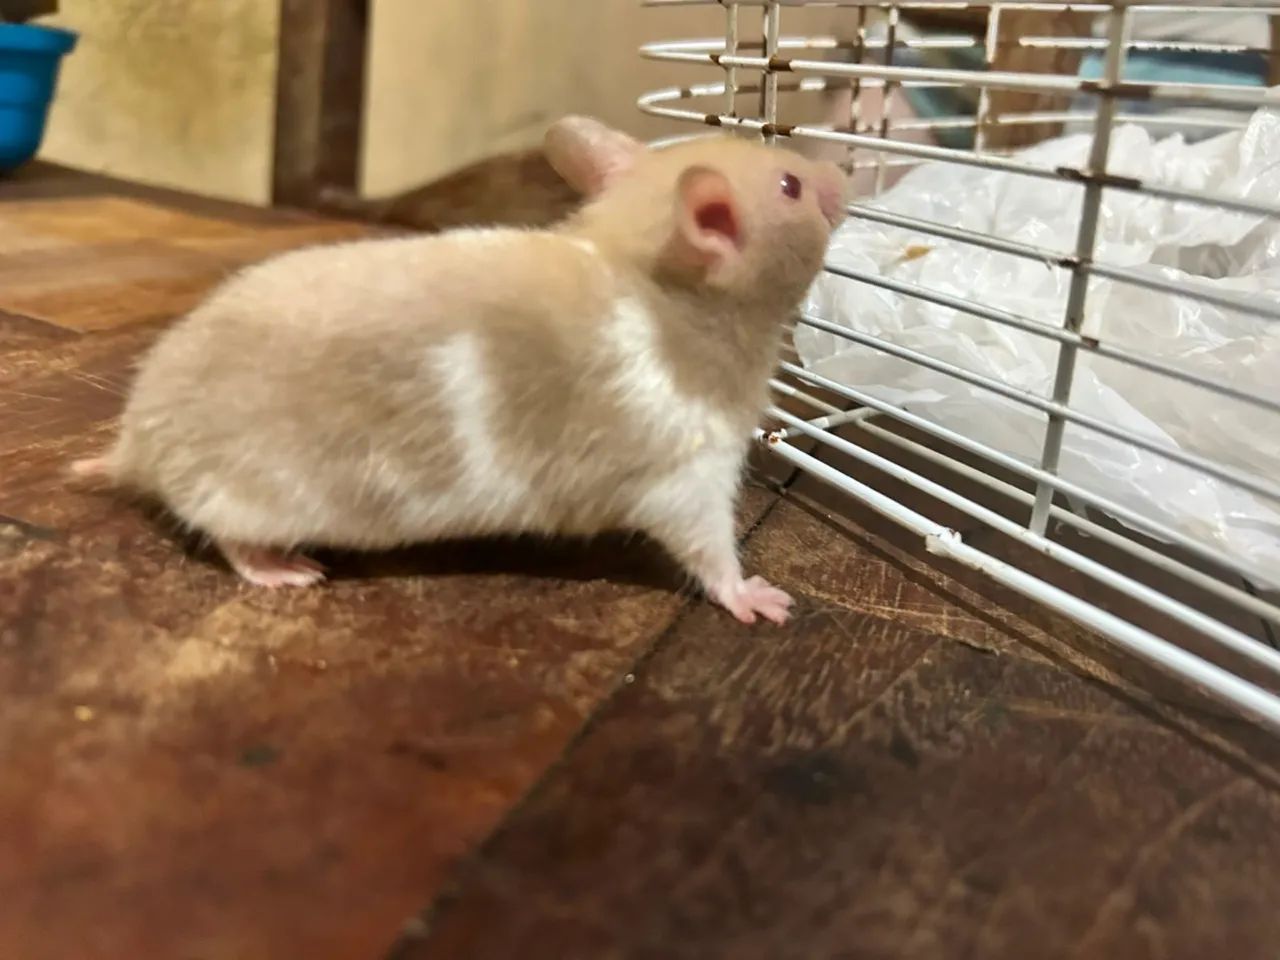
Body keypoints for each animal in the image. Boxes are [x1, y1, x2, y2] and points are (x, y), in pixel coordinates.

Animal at [73, 116, 847, 625]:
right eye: (790, 185)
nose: (843, 171)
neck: (647, 265)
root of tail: (137, 443)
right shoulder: (686, 465)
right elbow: (709, 546)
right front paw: (758, 598)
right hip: (250, 491)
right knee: (227, 533)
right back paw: (279, 567)